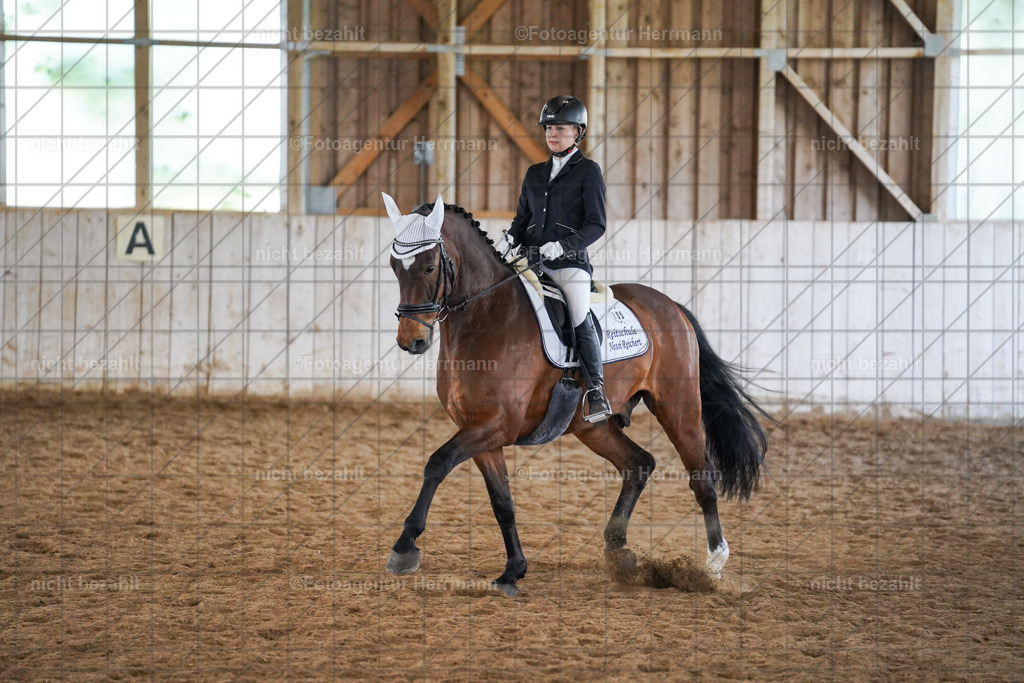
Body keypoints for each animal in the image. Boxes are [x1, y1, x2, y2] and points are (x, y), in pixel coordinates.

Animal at [382, 193, 771, 596]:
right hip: (592, 427)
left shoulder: (496, 425)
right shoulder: (482, 432)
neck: (486, 315)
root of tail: (670, 305)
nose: (411, 341)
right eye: (395, 266)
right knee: (639, 463)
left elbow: (437, 463)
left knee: (701, 477)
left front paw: (404, 549)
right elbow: (502, 502)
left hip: (678, 408)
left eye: (429, 266)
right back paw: (619, 550)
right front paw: (512, 571)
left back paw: (713, 564)